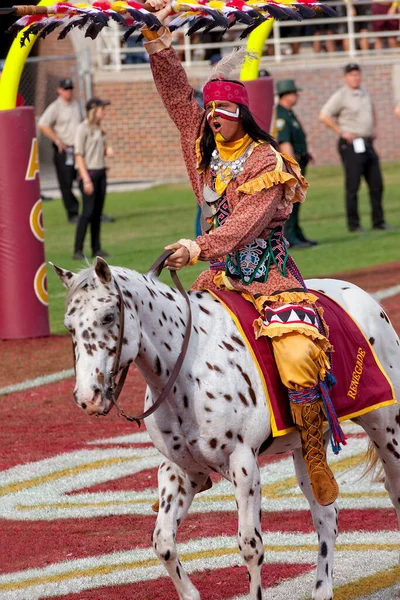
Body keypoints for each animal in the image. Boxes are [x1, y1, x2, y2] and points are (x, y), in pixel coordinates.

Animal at [52, 258, 400, 600]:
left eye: (109, 317)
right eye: (69, 325)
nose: (87, 397)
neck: (190, 369)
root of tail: (365, 298)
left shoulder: (243, 464)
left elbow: (250, 546)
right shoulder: (181, 470)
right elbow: (163, 542)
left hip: (385, 426)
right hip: (309, 447)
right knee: (327, 515)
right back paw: (321, 590)